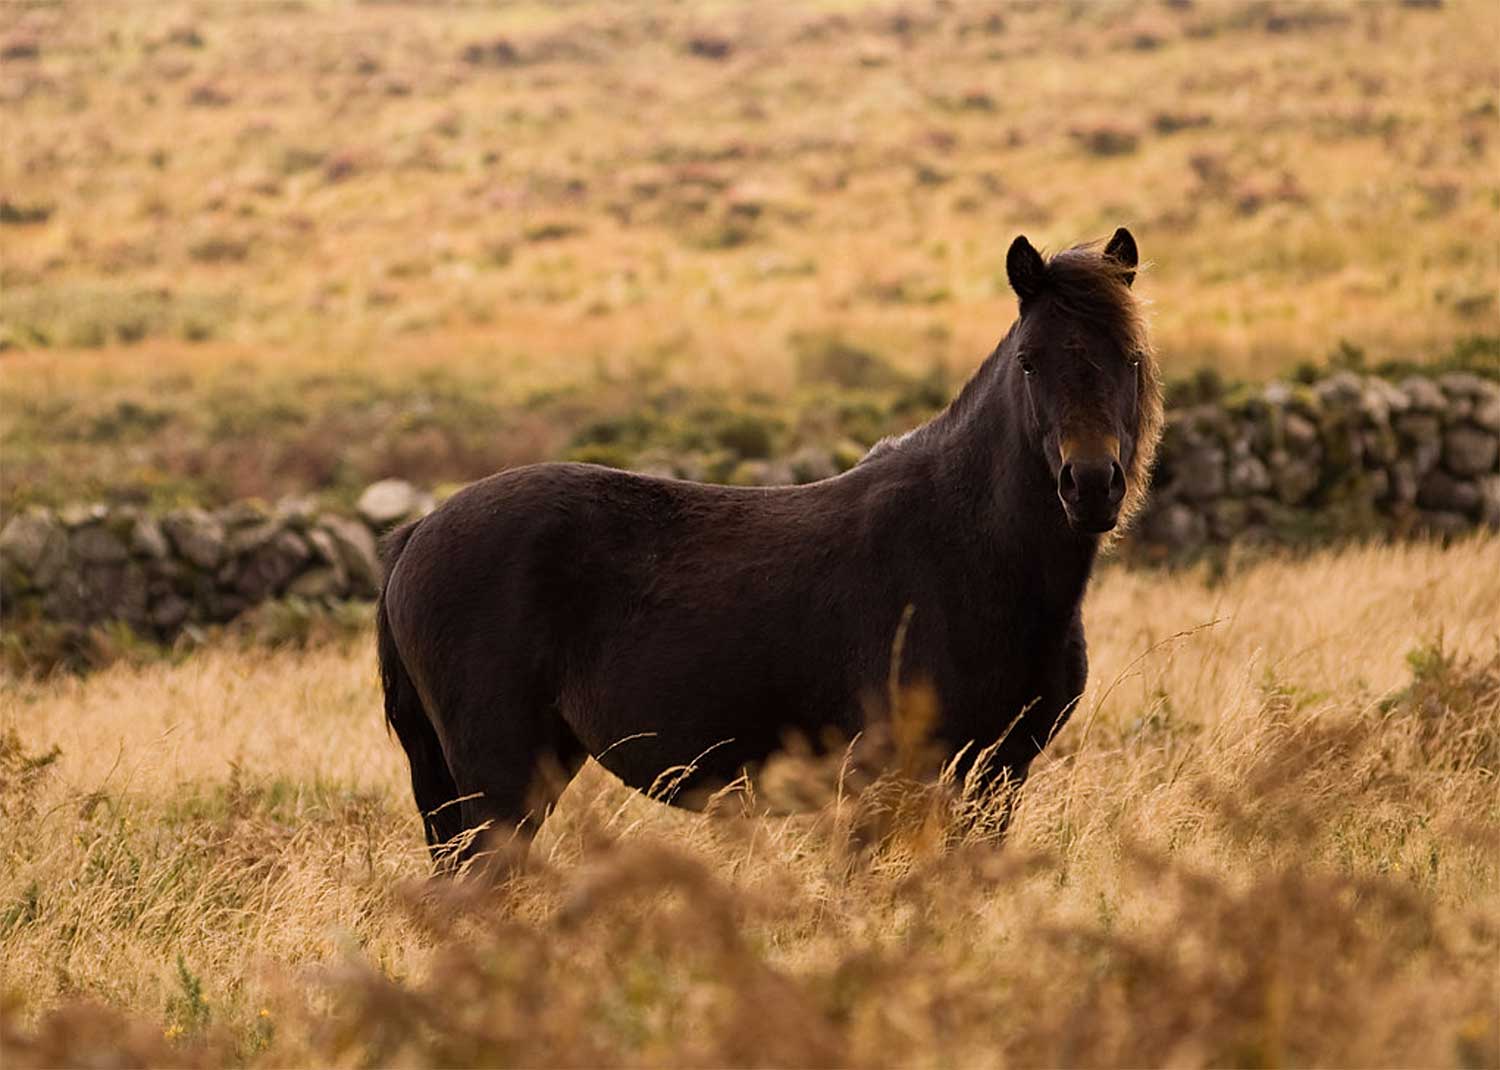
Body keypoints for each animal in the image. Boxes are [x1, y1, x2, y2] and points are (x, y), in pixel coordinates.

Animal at [372, 229, 1158, 870]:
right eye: (1029, 362)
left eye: (1131, 357)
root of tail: (417, 535)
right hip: (499, 785)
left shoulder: (1000, 771)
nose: (1091, 485)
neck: (974, 555)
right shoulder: (896, 773)